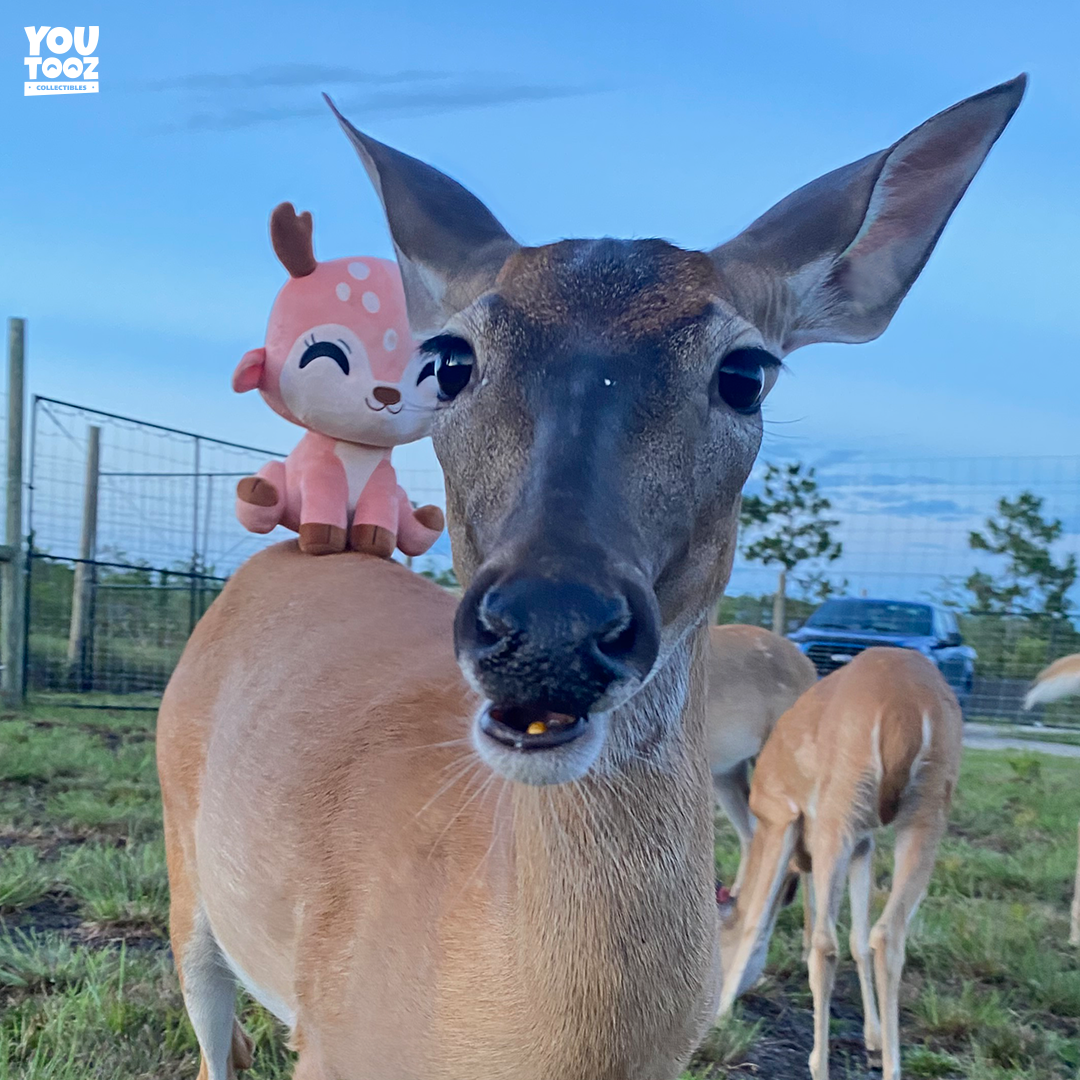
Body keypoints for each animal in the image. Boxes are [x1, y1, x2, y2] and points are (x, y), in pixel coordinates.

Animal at [715, 648, 963, 1080]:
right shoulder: (863, 843)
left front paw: (721, 1016)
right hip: (926, 813)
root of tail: (904, 710)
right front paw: (874, 1038)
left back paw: (819, 1064)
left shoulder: (780, 815)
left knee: (825, 944)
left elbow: (754, 920)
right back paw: (891, 1066)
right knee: (887, 935)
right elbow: (858, 939)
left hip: (838, 815)